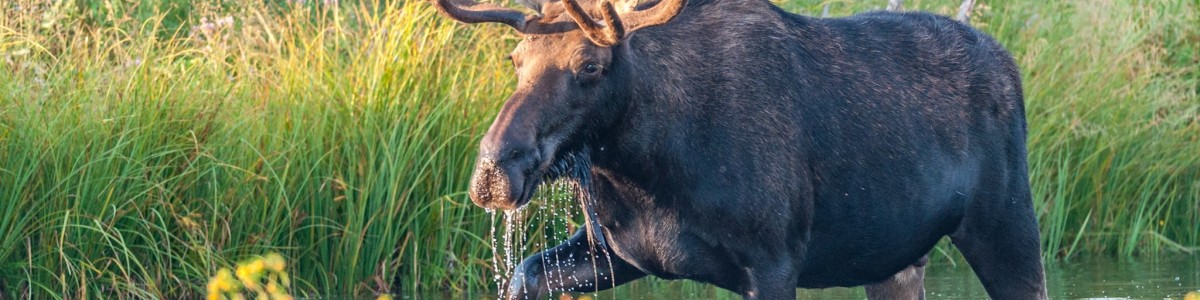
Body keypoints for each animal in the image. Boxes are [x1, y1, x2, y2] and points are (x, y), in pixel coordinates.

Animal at [434, 0, 1051, 297]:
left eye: (590, 65)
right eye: (515, 59)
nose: (494, 169)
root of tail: (1011, 65)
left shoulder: (775, 258)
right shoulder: (621, 251)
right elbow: (523, 274)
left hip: (1007, 225)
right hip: (898, 260)